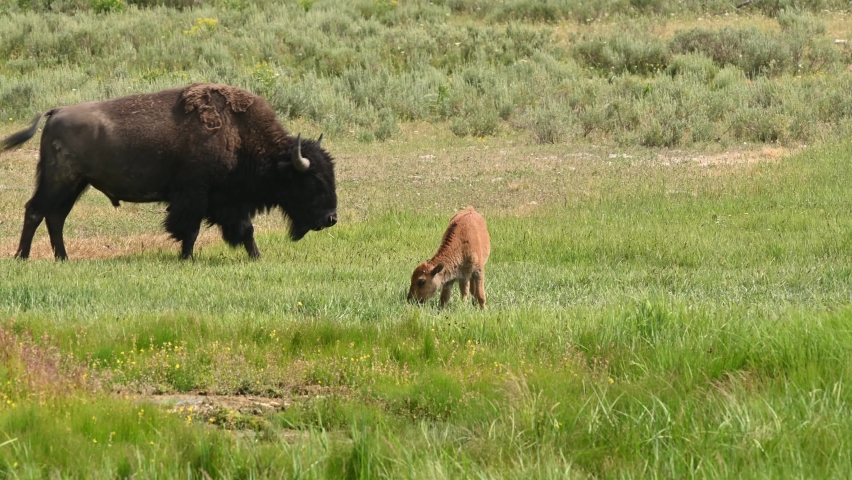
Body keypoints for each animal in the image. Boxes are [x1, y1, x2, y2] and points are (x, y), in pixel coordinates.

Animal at [0, 83, 337, 260]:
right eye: (313, 182)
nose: (331, 218)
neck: (239, 134)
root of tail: (56, 111)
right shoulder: (195, 196)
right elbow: (191, 229)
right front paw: (187, 258)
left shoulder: (228, 201)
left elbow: (245, 229)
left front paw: (256, 257)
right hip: (58, 180)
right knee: (36, 211)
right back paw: (22, 256)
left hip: (75, 184)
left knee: (55, 216)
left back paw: (63, 258)